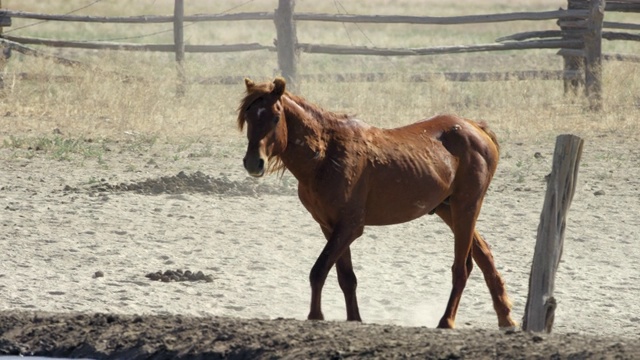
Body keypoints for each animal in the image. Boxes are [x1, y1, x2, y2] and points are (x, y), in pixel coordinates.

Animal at [238, 76, 516, 330]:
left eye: (275, 117)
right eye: (249, 116)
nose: (254, 163)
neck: (327, 154)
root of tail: (475, 127)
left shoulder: (349, 227)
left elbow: (319, 270)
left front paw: (315, 316)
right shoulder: (330, 227)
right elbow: (345, 277)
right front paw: (354, 319)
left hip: (465, 207)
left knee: (462, 268)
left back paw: (446, 321)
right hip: (448, 209)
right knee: (484, 256)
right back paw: (506, 318)